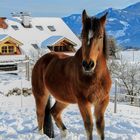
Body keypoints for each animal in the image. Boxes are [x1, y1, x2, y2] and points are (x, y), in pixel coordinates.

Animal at [31, 9, 111, 140]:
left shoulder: (102, 101)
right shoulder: (83, 102)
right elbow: (89, 127)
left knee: (54, 112)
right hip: (41, 95)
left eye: (100, 36)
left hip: (63, 99)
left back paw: (64, 133)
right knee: (40, 115)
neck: (94, 77)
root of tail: (41, 60)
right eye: (82, 35)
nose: (88, 64)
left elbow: (100, 127)